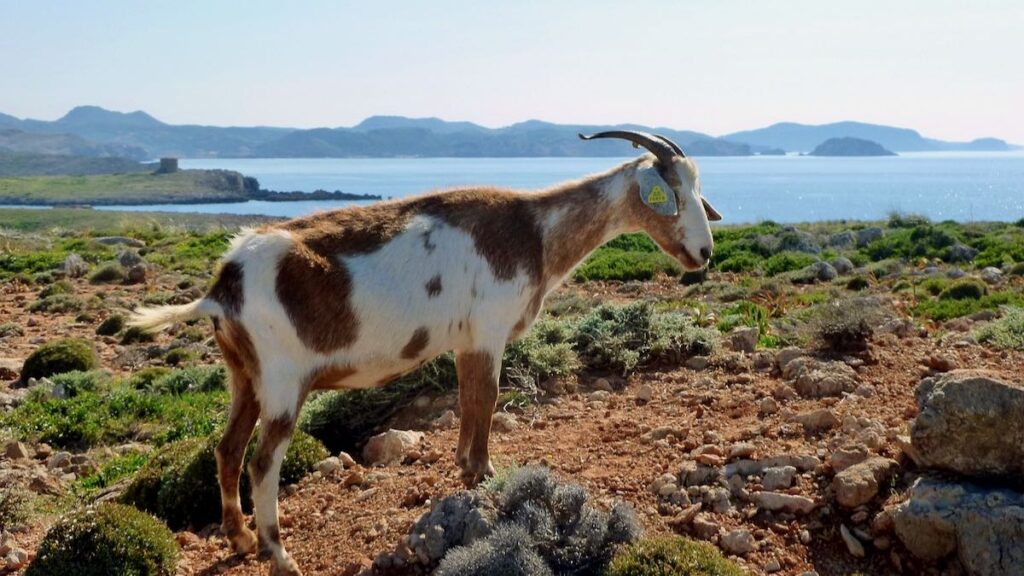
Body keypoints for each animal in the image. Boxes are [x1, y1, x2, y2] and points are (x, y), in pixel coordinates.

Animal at [128, 131, 720, 573]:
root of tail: (223, 284)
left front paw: (465, 469)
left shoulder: (464, 342)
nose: (704, 252)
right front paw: (483, 476)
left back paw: (241, 541)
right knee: (262, 460)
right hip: (281, 379)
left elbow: (467, 402)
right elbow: (486, 400)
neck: (534, 230)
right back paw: (279, 555)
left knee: (227, 450)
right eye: (673, 191)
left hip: (243, 375)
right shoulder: (488, 331)